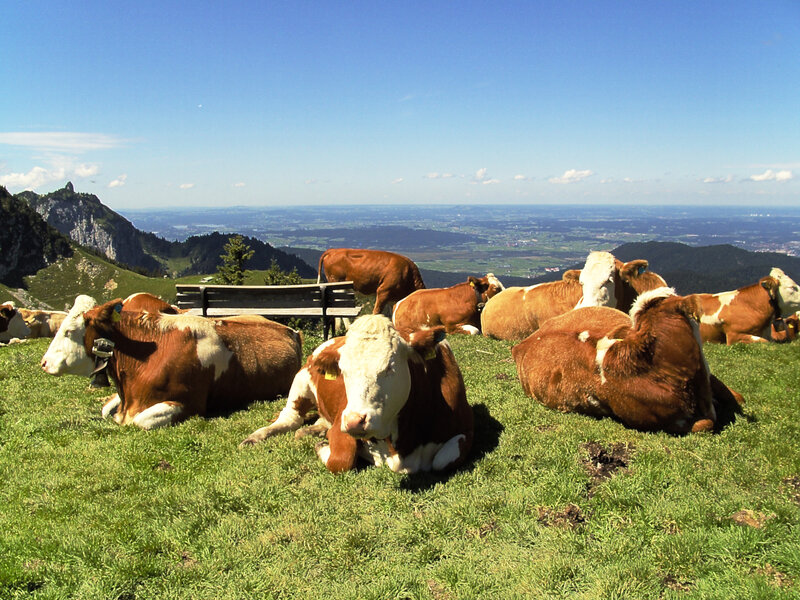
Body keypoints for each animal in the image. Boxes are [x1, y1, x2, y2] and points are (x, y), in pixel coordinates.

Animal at [41, 297, 302, 429]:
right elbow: (107, 411)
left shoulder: (189, 404)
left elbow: (139, 421)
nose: (44, 362)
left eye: (69, 331)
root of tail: (289, 330)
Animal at [240, 315, 473, 474]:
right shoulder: (340, 425)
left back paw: (313, 430)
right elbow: (341, 460)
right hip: (300, 380)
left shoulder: (464, 431)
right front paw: (323, 446)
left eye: (390, 367)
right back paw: (256, 437)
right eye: (343, 370)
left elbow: (442, 460)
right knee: (290, 418)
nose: (354, 421)